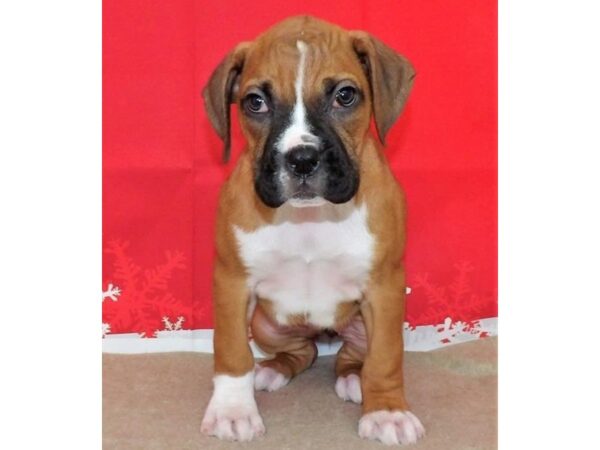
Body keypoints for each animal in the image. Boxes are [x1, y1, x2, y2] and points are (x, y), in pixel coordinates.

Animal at [198, 15, 422, 444]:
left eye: (345, 96)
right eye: (255, 102)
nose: (301, 159)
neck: (309, 218)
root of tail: (325, 332)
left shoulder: (384, 288)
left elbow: (386, 357)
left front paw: (386, 411)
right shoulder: (231, 282)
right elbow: (231, 350)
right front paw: (233, 410)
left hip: (365, 322)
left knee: (352, 356)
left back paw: (354, 379)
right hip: (265, 323)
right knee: (303, 352)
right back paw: (273, 369)